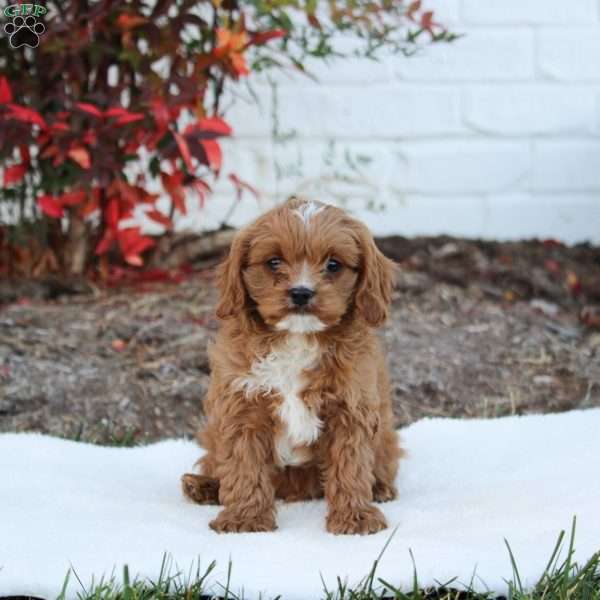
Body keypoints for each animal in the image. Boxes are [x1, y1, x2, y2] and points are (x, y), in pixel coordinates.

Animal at [180, 196, 400, 536]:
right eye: (273, 262)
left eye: (333, 265)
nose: (301, 292)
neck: (297, 337)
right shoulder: (242, 406)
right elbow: (244, 465)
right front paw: (246, 519)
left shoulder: (351, 408)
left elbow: (351, 465)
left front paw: (355, 517)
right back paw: (203, 486)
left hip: (386, 436)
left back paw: (379, 487)